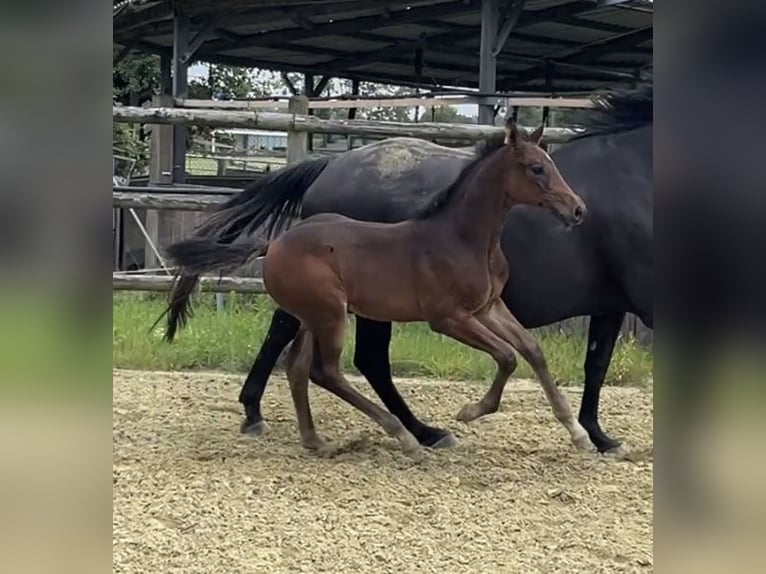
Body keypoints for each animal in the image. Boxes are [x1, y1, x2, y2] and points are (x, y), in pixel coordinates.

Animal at [160, 79, 652, 454]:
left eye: (549, 164)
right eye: (536, 169)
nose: (577, 210)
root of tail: (327, 165)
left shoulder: (514, 307)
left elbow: (558, 356)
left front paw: (589, 434)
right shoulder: (452, 316)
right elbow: (517, 357)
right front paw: (475, 412)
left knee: (302, 352)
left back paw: (294, 425)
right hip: (349, 311)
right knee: (348, 361)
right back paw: (414, 433)